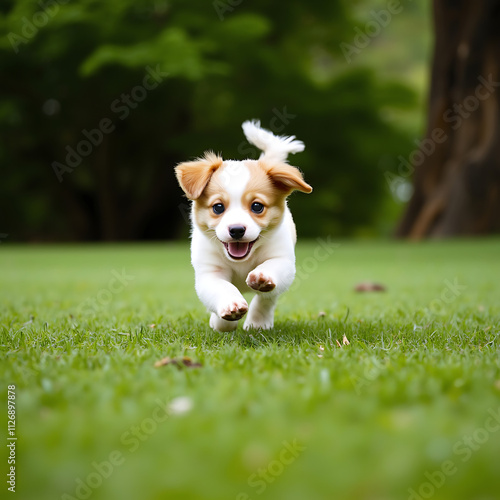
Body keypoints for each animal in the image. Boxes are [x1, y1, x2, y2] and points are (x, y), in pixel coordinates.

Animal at [174, 120, 310, 332]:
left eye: (257, 206)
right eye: (218, 207)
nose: (237, 230)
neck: (241, 262)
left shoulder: (283, 260)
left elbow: (270, 277)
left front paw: (262, 277)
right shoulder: (209, 273)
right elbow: (223, 288)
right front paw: (229, 312)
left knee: (267, 299)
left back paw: (259, 322)